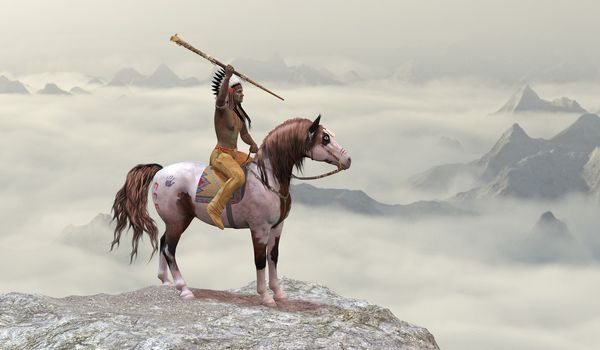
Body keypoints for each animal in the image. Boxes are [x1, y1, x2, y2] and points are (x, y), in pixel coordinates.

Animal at [111, 115, 352, 306]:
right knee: (170, 249)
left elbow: (273, 257)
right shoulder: (259, 229)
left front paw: (279, 293)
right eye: (325, 138)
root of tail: (161, 173)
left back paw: (165, 282)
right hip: (178, 221)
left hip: (173, 222)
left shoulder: (277, 227)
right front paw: (266, 297)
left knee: (162, 243)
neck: (268, 180)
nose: (348, 159)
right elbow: (259, 260)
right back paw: (184, 289)